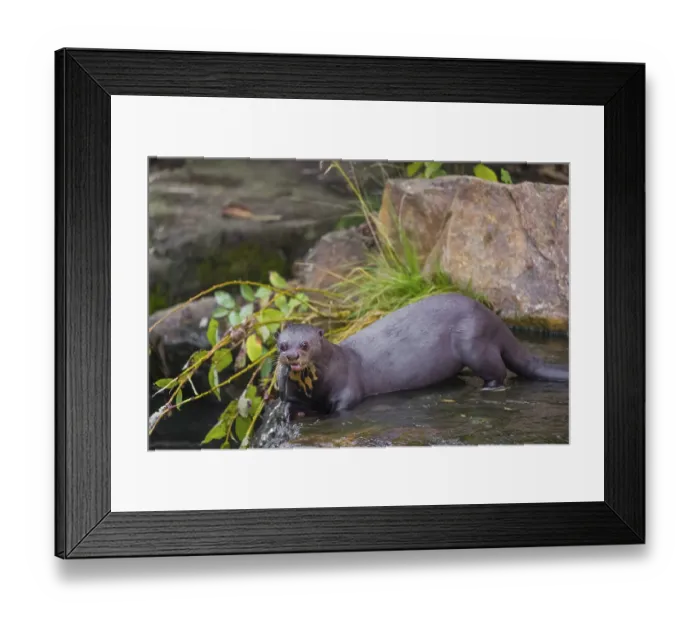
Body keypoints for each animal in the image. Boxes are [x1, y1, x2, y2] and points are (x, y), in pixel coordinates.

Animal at [275, 293, 568, 415]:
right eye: (282, 345)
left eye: (305, 345)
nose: (292, 357)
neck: (315, 388)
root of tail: (493, 318)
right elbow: (290, 403)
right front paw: (286, 412)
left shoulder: (348, 387)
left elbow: (344, 406)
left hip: (474, 343)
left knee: (498, 371)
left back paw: (489, 388)